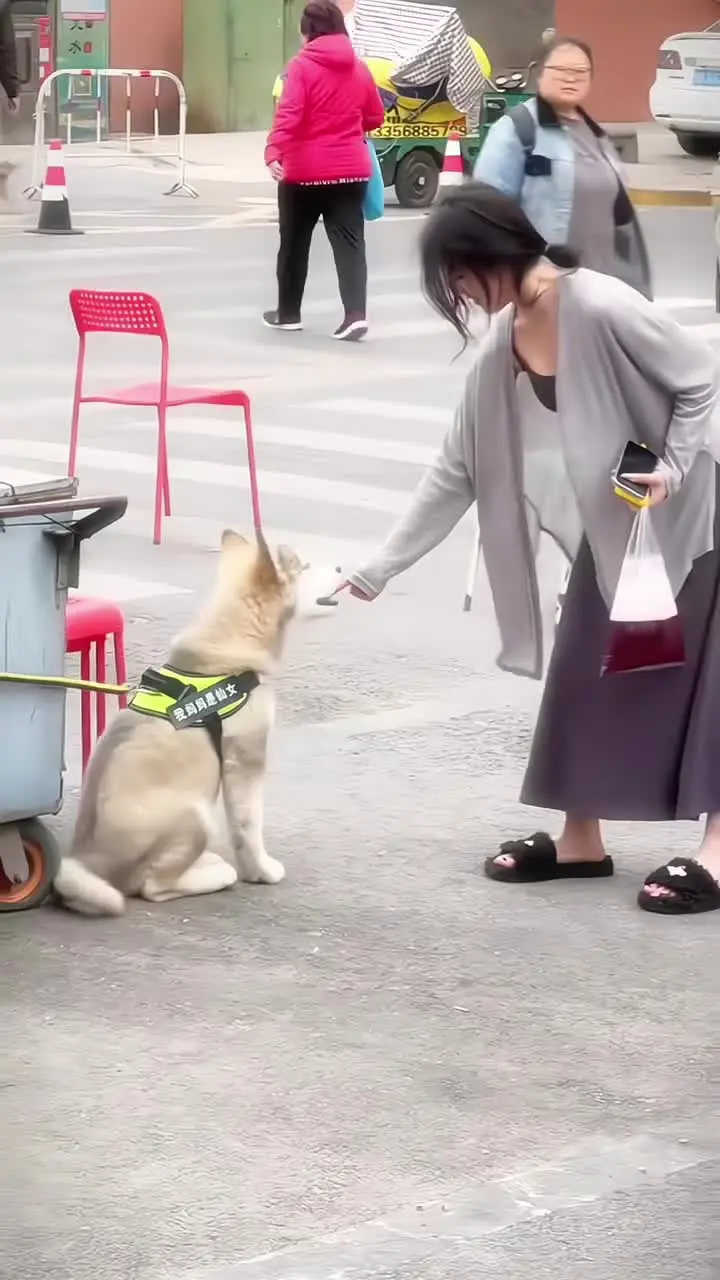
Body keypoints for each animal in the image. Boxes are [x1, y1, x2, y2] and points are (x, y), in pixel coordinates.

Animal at [53, 532, 304, 921]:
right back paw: (213, 873)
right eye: (295, 564)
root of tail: (87, 864)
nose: (338, 569)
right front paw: (261, 871)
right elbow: (249, 827)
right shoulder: (245, 763)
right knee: (153, 887)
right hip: (196, 816)